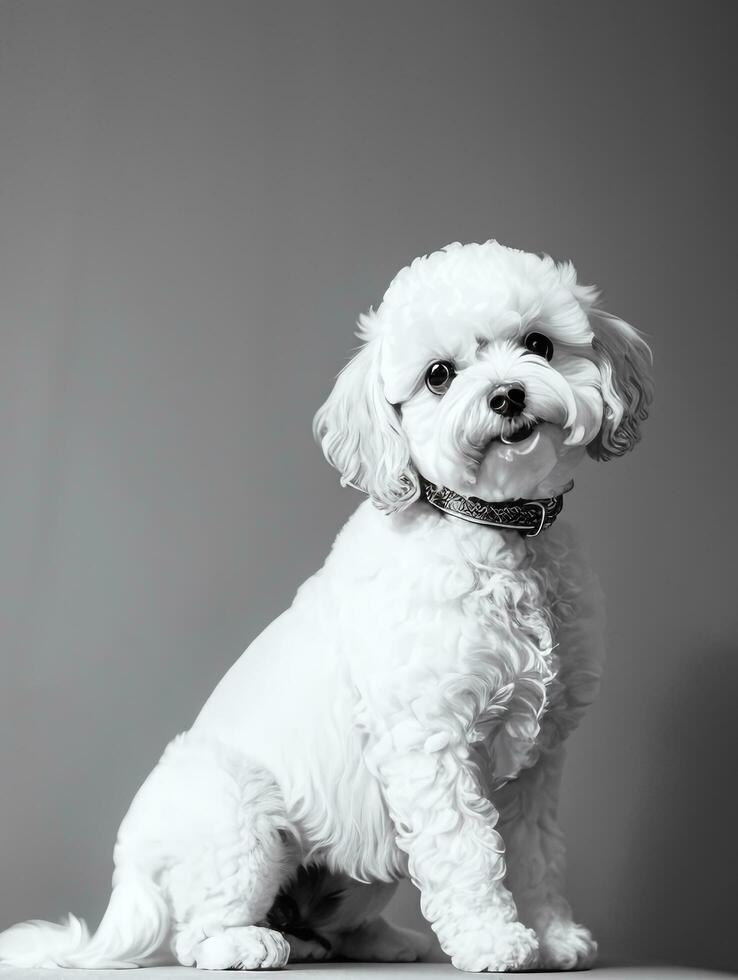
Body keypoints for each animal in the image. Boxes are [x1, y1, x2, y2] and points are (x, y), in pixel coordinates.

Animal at [1, 239, 656, 972]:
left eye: (539, 344)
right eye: (439, 375)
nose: (507, 394)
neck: (496, 532)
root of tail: (130, 872)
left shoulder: (537, 762)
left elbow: (536, 854)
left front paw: (551, 933)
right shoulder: (431, 744)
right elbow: (469, 851)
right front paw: (495, 940)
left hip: (368, 856)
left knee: (337, 925)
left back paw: (379, 941)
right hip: (244, 816)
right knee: (194, 935)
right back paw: (250, 943)